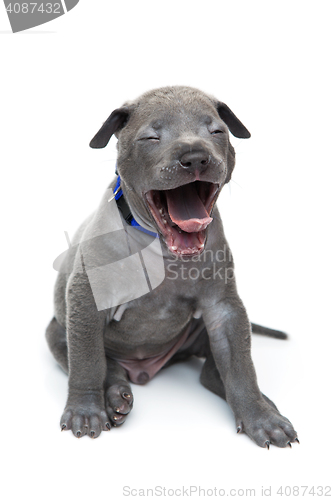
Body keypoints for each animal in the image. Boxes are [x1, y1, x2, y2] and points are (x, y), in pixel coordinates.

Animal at [45, 86, 296, 450]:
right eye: (151, 137)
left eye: (216, 132)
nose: (195, 157)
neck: (164, 249)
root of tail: (144, 369)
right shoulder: (86, 302)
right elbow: (88, 362)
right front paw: (86, 409)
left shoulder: (225, 310)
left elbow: (241, 365)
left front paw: (261, 416)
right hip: (58, 332)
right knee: (102, 364)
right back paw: (115, 394)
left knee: (213, 371)